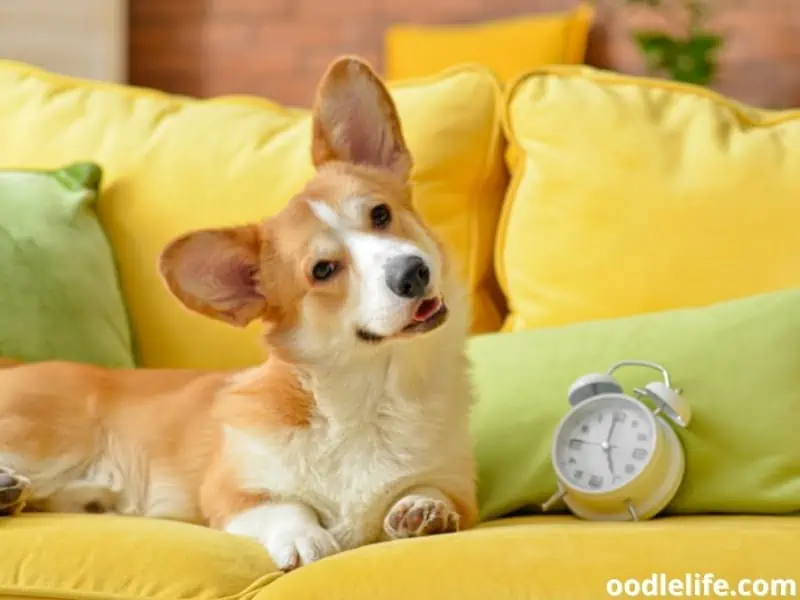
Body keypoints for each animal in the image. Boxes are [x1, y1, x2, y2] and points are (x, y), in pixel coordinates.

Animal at [0, 57, 476, 572]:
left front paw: (421, 510)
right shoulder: (233, 490)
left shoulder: (458, 488)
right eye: (323, 270)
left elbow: (428, 492)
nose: (412, 273)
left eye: (381, 214)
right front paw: (305, 538)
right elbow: (285, 507)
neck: (372, 394)